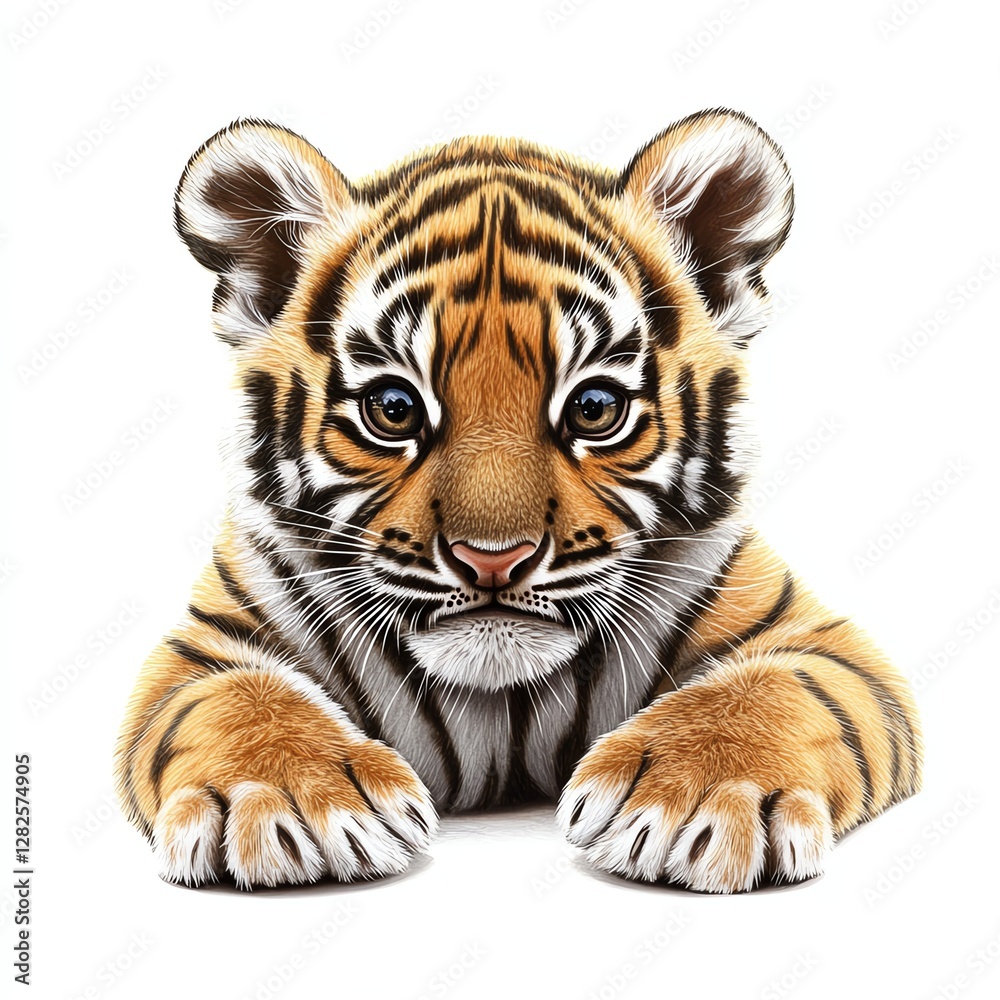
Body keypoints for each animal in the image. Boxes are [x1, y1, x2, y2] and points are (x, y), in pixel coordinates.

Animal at [114, 108, 922, 893]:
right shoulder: (203, 649)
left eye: (595, 408)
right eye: (393, 410)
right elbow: (234, 702)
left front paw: (696, 799)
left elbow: (772, 693)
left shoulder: (818, 642)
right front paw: (285, 802)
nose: (492, 561)